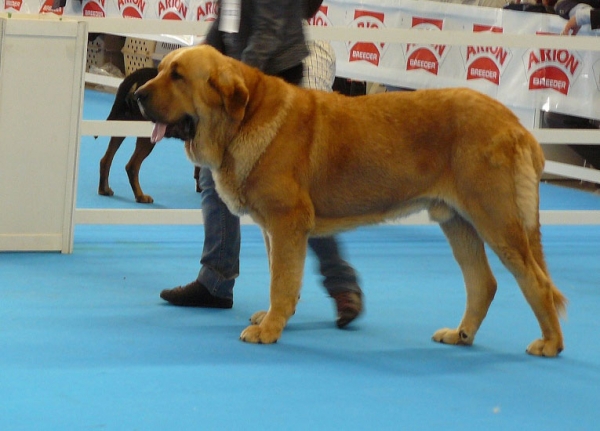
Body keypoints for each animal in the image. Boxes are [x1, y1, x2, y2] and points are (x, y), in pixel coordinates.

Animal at [137, 44, 568, 358]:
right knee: (483, 283)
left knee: (536, 282)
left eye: (177, 75)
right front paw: (272, 318)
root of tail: (516, 125)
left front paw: (270, 328)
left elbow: (282, 281)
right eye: (163, 69)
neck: (243, 118)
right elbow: (281, 274)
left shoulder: (287, 221)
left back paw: (550, 344)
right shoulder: (274, 230)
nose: (138, 95)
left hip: (497, 219)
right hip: (457, 221)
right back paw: (460, 334)